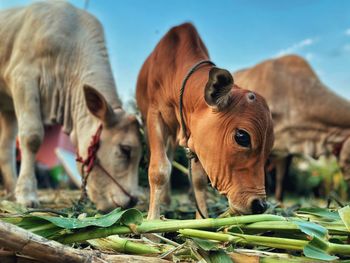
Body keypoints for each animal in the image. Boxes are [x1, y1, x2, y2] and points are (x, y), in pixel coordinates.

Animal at [0, 1, 142, 211]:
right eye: (125, 149)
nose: (132, 201)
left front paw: (19, 192)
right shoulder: (22, 78)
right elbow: (32, 137)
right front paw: (27, 194)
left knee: (6, 145)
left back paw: (10, 191)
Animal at [135, 22, 274, 220]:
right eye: (242, 136)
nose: (260, 205)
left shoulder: (196, 137)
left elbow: (199, 180)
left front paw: (202, 219)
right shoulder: (155, 115)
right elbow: (158, 170)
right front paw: (152, 222)